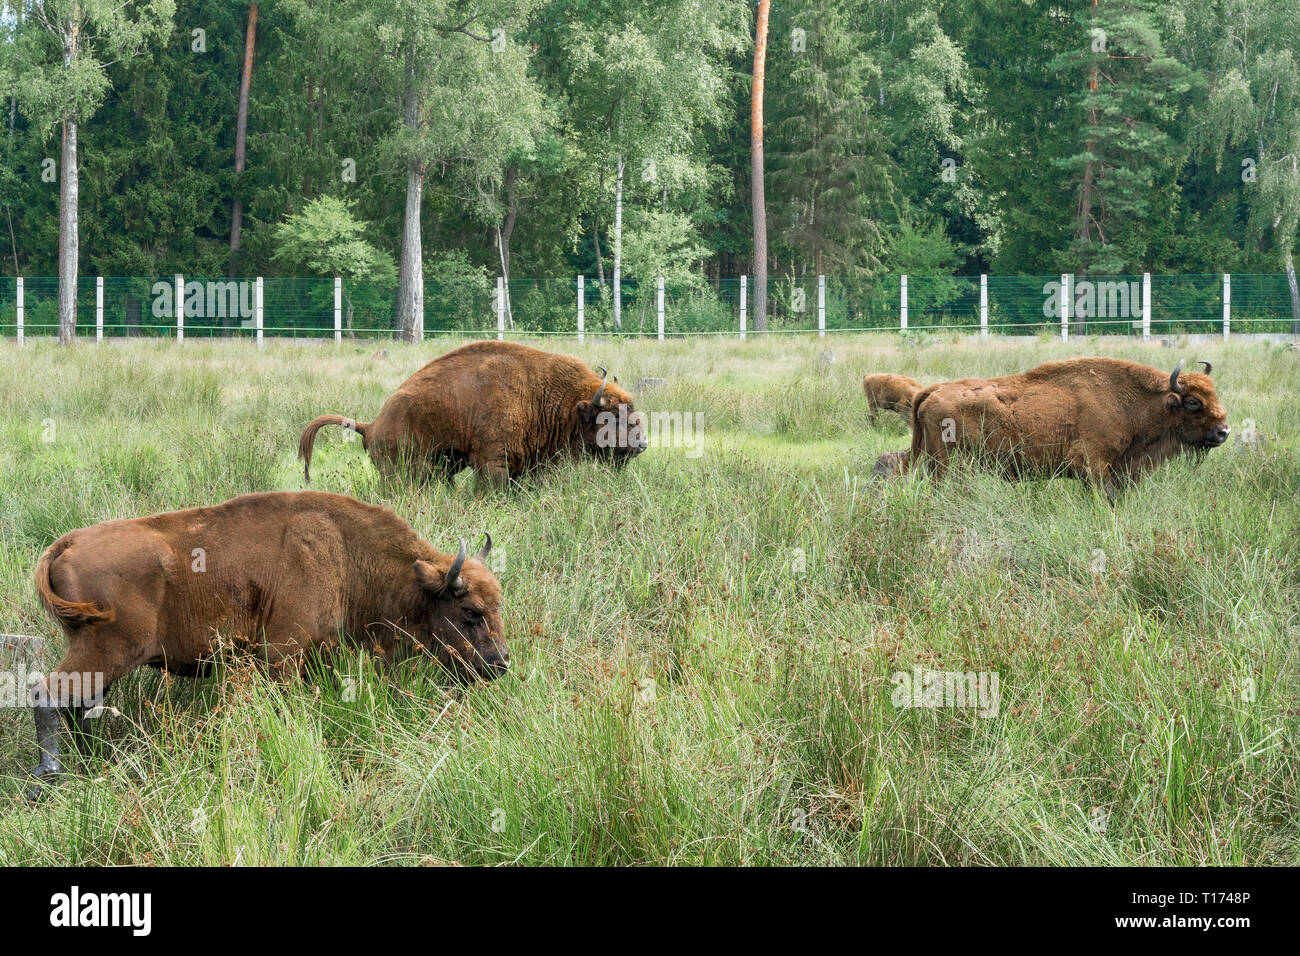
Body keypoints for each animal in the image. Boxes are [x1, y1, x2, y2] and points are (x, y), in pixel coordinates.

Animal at [26, 494, 501, 790]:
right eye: (470, 611)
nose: (500, 664)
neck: (341, 550)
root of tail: (67, 543)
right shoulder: (283, 656)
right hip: (105, 652)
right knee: (46, 694)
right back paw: (51, 775)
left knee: (80, 705)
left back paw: (91, 763)